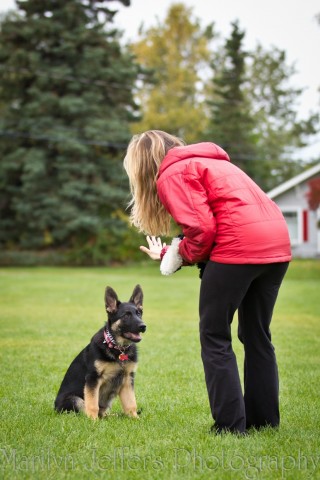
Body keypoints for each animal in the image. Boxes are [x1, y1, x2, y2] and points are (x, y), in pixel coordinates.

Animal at [54, 284, 146, 420]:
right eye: (126, 315)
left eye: (139, 313)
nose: (143, 326)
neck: (117, 348)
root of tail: (54, 408)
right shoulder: (93, 379)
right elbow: (92, 404)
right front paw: (93, 421)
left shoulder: (127, 380)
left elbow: (131, 403)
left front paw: (135, 419)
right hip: (74, 399)